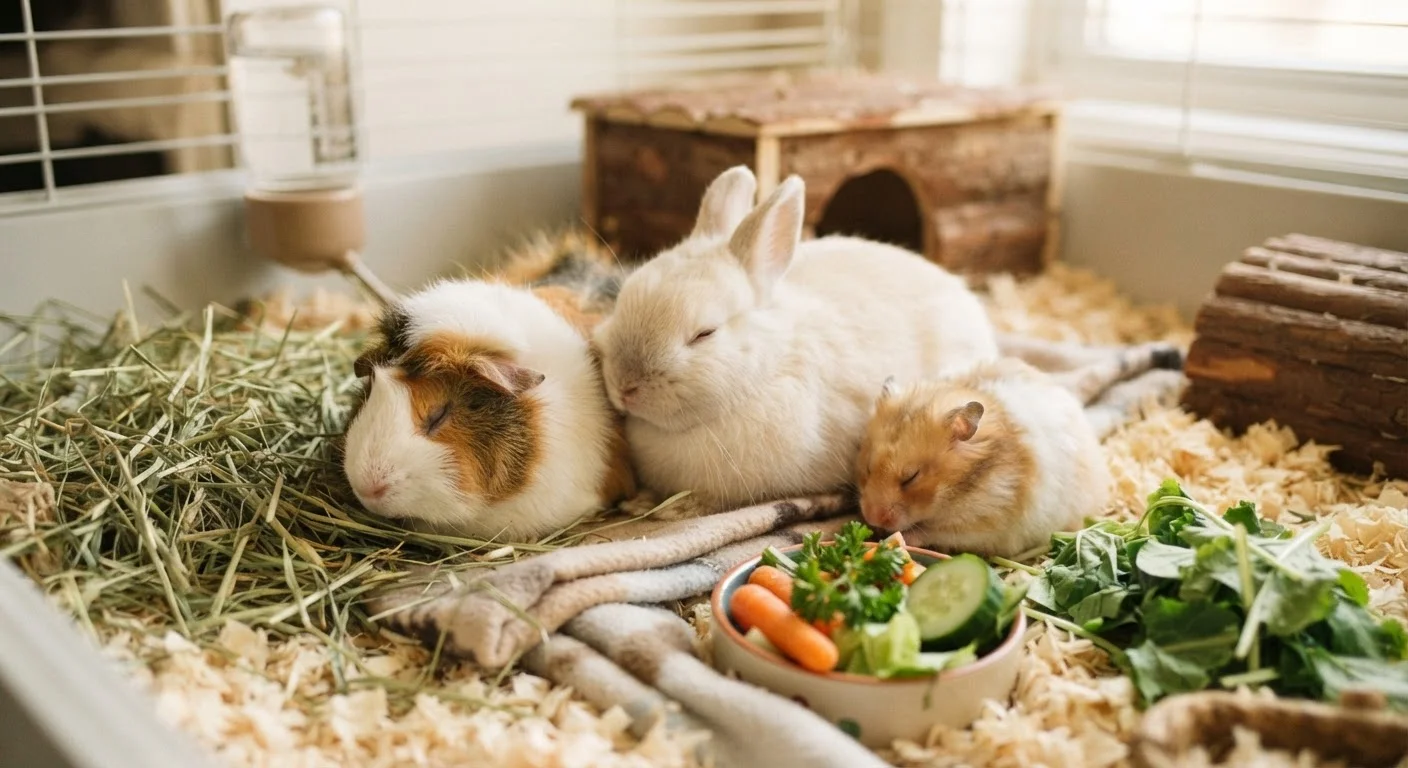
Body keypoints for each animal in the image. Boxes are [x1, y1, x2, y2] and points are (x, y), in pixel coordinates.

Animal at [590, 165, 999, 515]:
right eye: (622, 300)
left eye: (704, 334)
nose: (625, 386)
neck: (765, 367)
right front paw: (641, 503)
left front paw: (673, 509)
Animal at [855, 338, 1183, 557]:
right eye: (867, 468)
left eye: (911, 477)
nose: (872, 517)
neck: (963, 489)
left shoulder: (981, 527)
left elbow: (928, 533)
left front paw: (896, 538)